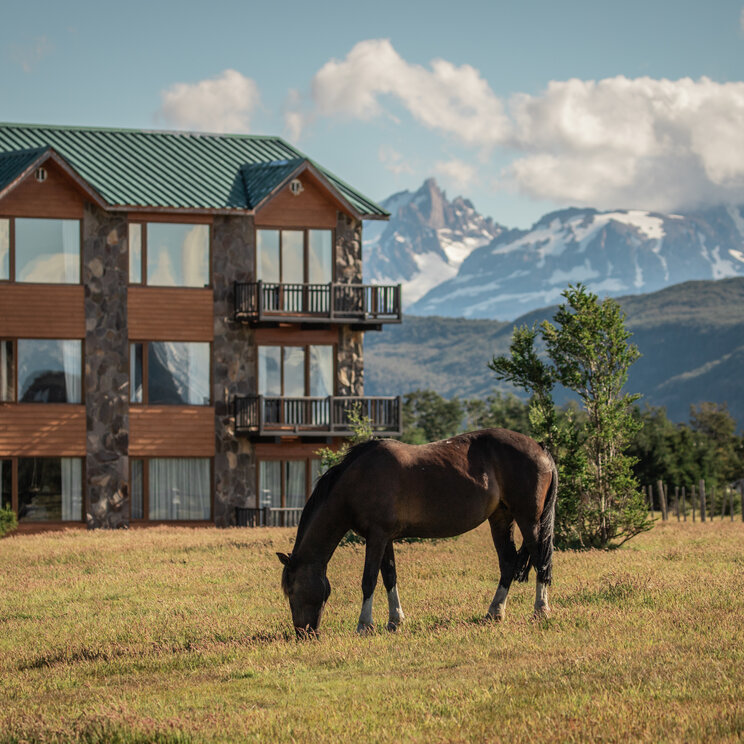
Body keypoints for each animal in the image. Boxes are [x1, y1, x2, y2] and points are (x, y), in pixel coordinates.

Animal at [277, 428, 558, 636]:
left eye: (292, 589)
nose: (303, 633)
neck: (357, 480)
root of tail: (540, 448)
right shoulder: (384, 538)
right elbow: (389, 577)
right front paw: (395, 621)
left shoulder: (376, 538)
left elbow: (369, 580)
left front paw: (364, 625)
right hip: (500, 518)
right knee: (508, 563)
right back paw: (495, 613)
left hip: (529, 521)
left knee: (541, 562)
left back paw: (541, 611)